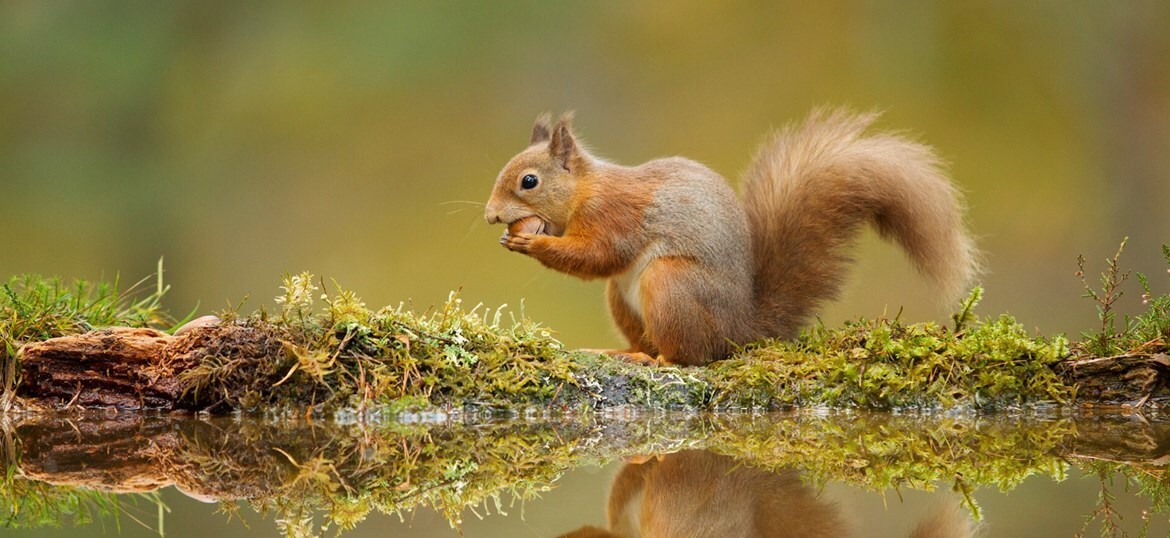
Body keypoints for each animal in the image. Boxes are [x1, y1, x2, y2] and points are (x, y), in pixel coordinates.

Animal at [484, 111, 978, 367]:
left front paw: (532, 244)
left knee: (690, 356)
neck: (585, 190)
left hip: (671, 284)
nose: (490, 216)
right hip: (622, 300)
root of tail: (740, 330)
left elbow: (599, 254)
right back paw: (622, 351)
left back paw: (659, 361)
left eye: (529, 181)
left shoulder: (614, 215)